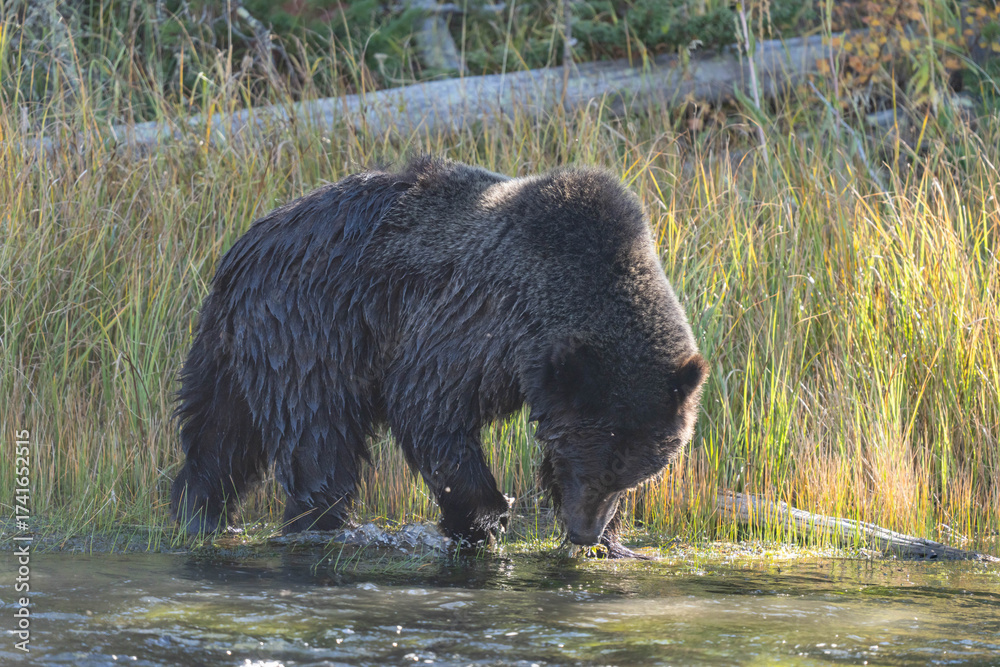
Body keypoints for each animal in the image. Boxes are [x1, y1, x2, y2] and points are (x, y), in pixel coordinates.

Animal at [171, 156, 707, 558]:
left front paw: (617, 546)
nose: (583, 530)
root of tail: (246, 245)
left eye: (636, 472)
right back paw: (318, 525)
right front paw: (487, 518)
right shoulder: (473, 323)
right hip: (308, 327)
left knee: (220, 435)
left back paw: (197, 514)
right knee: (317, 437)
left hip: (233, 348)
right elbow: (428, 406)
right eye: (595, 463)